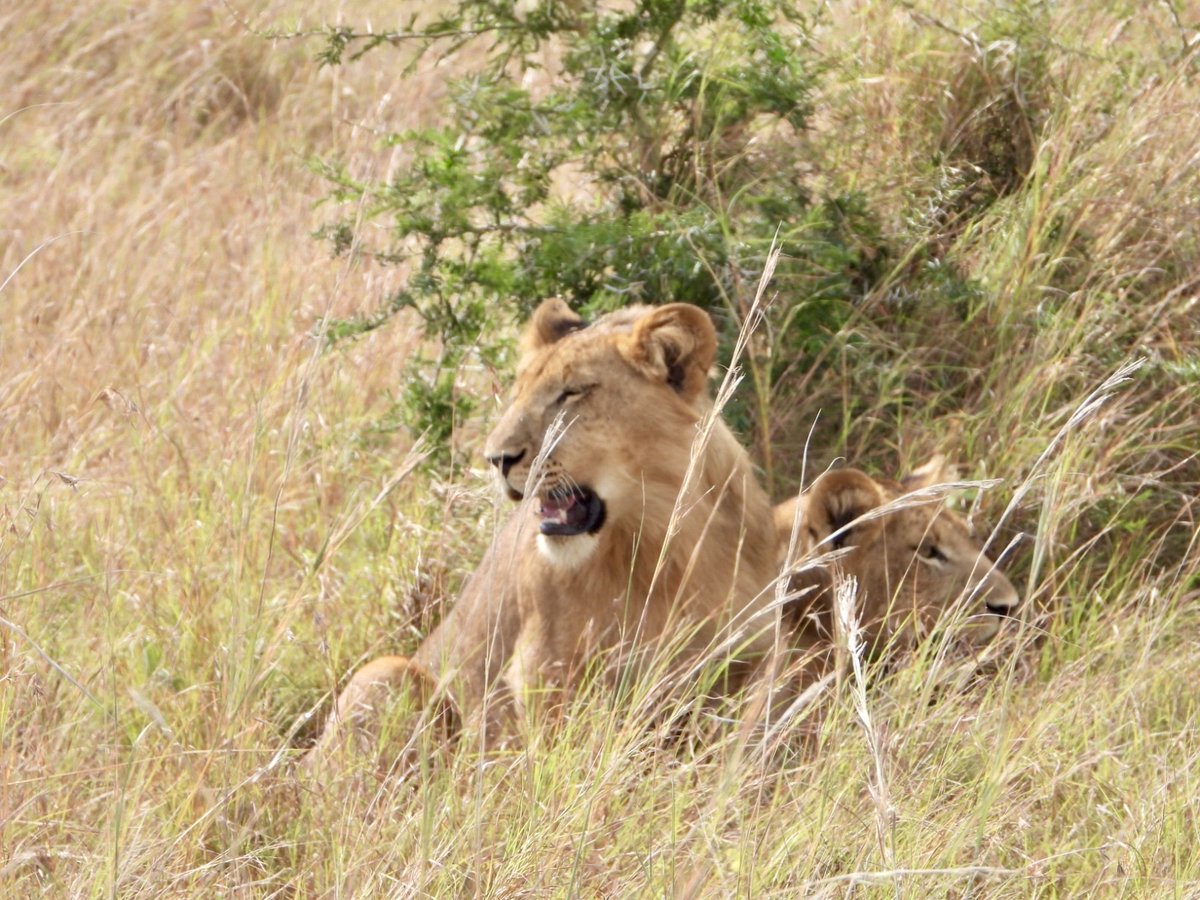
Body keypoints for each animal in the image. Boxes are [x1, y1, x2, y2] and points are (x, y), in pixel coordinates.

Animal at [306, 299, 780, 764]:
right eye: (519, 393)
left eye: (571, 393)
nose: (496, 458)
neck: (667, 544)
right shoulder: (545, 667)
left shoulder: (750, 658)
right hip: (386, 672)